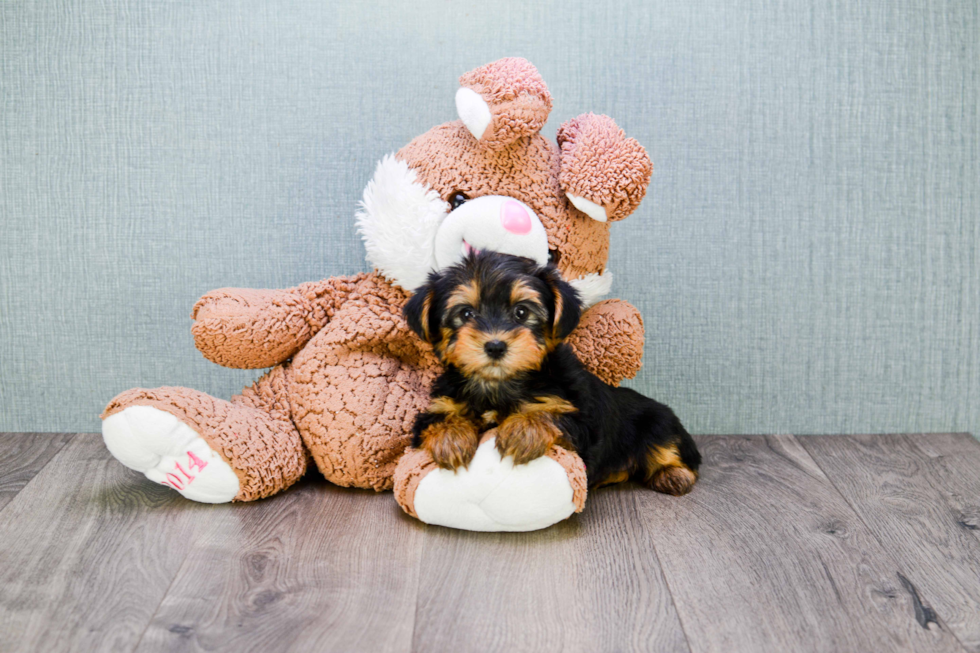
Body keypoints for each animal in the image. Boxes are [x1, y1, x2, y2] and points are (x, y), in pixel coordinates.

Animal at [402, 250, 700, 494]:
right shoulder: (438, 406)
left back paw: (673, 475)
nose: (495, 346)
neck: (499, 384)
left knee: (671, 450)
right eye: (466, 314)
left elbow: (549, 414)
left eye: (522, 312)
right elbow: (438, 420)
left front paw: (523, 430)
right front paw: (451, 437)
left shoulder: (580, 420)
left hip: (659, 423)